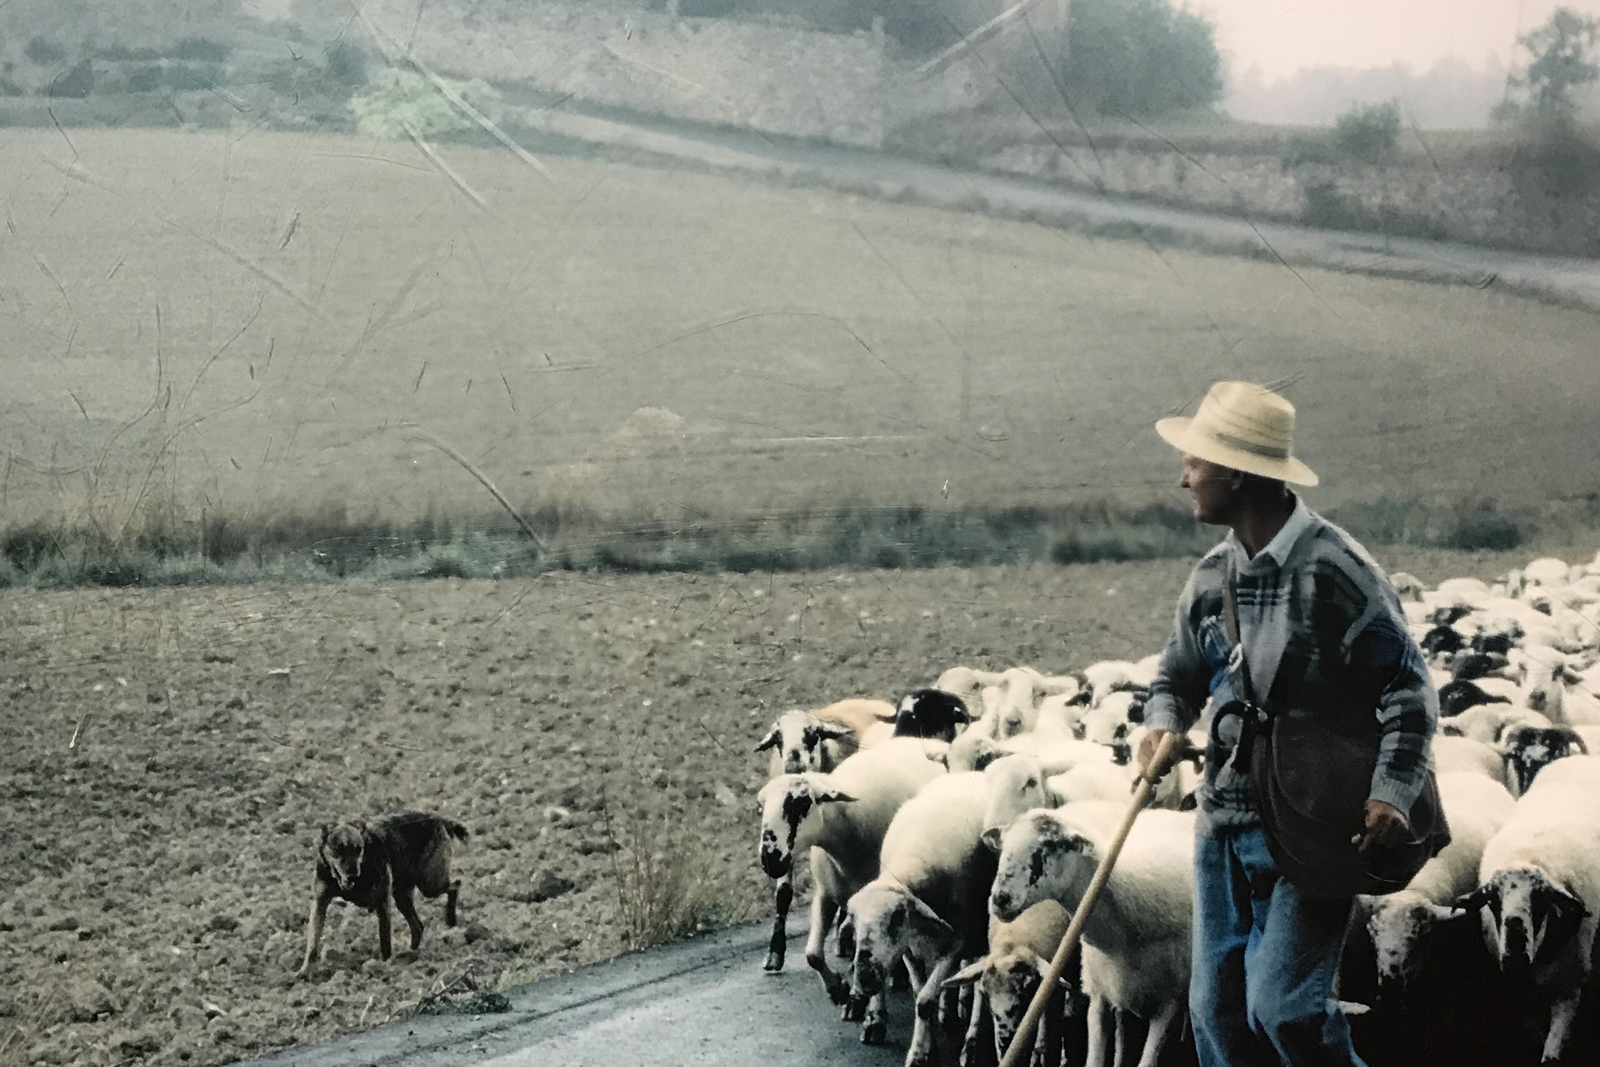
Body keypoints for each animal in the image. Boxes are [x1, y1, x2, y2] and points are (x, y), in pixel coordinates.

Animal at [297, 809, 467, 979]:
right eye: (338, 849)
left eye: (358, 849)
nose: (353, 874)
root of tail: (438, 818)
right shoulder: (320, 903)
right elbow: (313, 941)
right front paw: (306, 969)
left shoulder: (382, 900)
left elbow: (385, 937)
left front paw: (385, 965)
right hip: (402, 896)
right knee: (418, 926)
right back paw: (412, 953)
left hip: (429, 884)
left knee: (456, 885)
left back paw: (450, 919)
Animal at [985, 806, 1203, 1067]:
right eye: (1003, 846)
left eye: (1048, 845)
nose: (1000, 899)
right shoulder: (1099, 995)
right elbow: (1095, 1059)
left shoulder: (1169, 1003)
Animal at [1465, 755, 1600, 1062]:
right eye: (1493, 901)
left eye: (1541, 900)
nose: (1514, 956)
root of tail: (1579, 757)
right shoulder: (1520, 994)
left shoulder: (1569, 989)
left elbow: (1551, 1054)